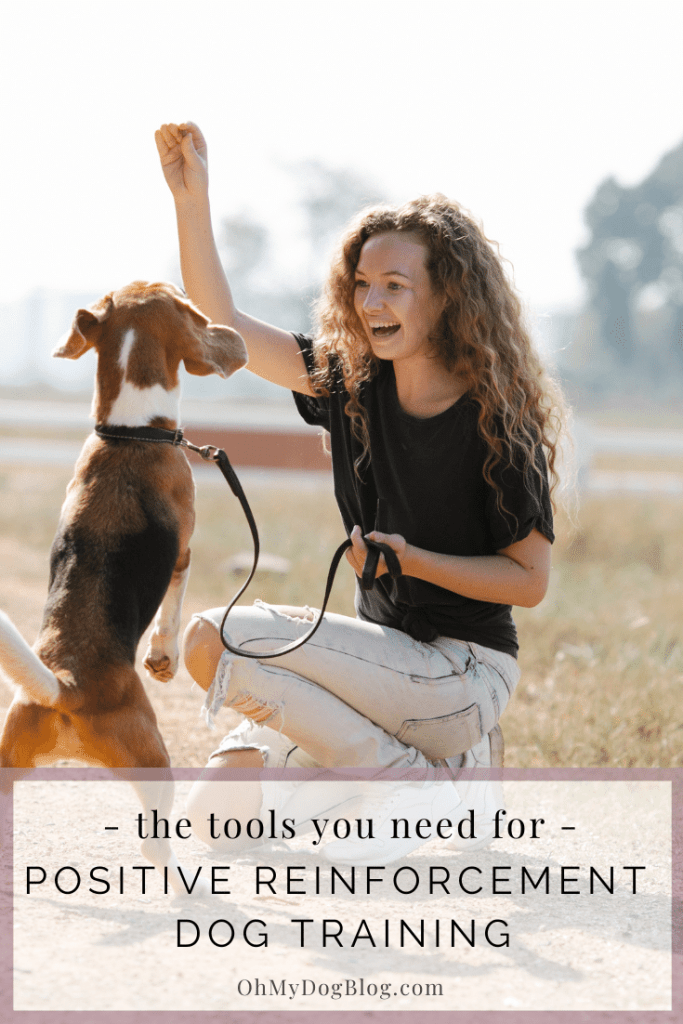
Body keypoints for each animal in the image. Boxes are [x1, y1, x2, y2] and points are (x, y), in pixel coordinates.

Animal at [0, 278, 245, 888]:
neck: (130, 432)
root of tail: (66, 683)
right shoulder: (183, 552)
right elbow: (173, 610)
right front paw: (163, 659)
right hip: (155, 759)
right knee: (155, 843)